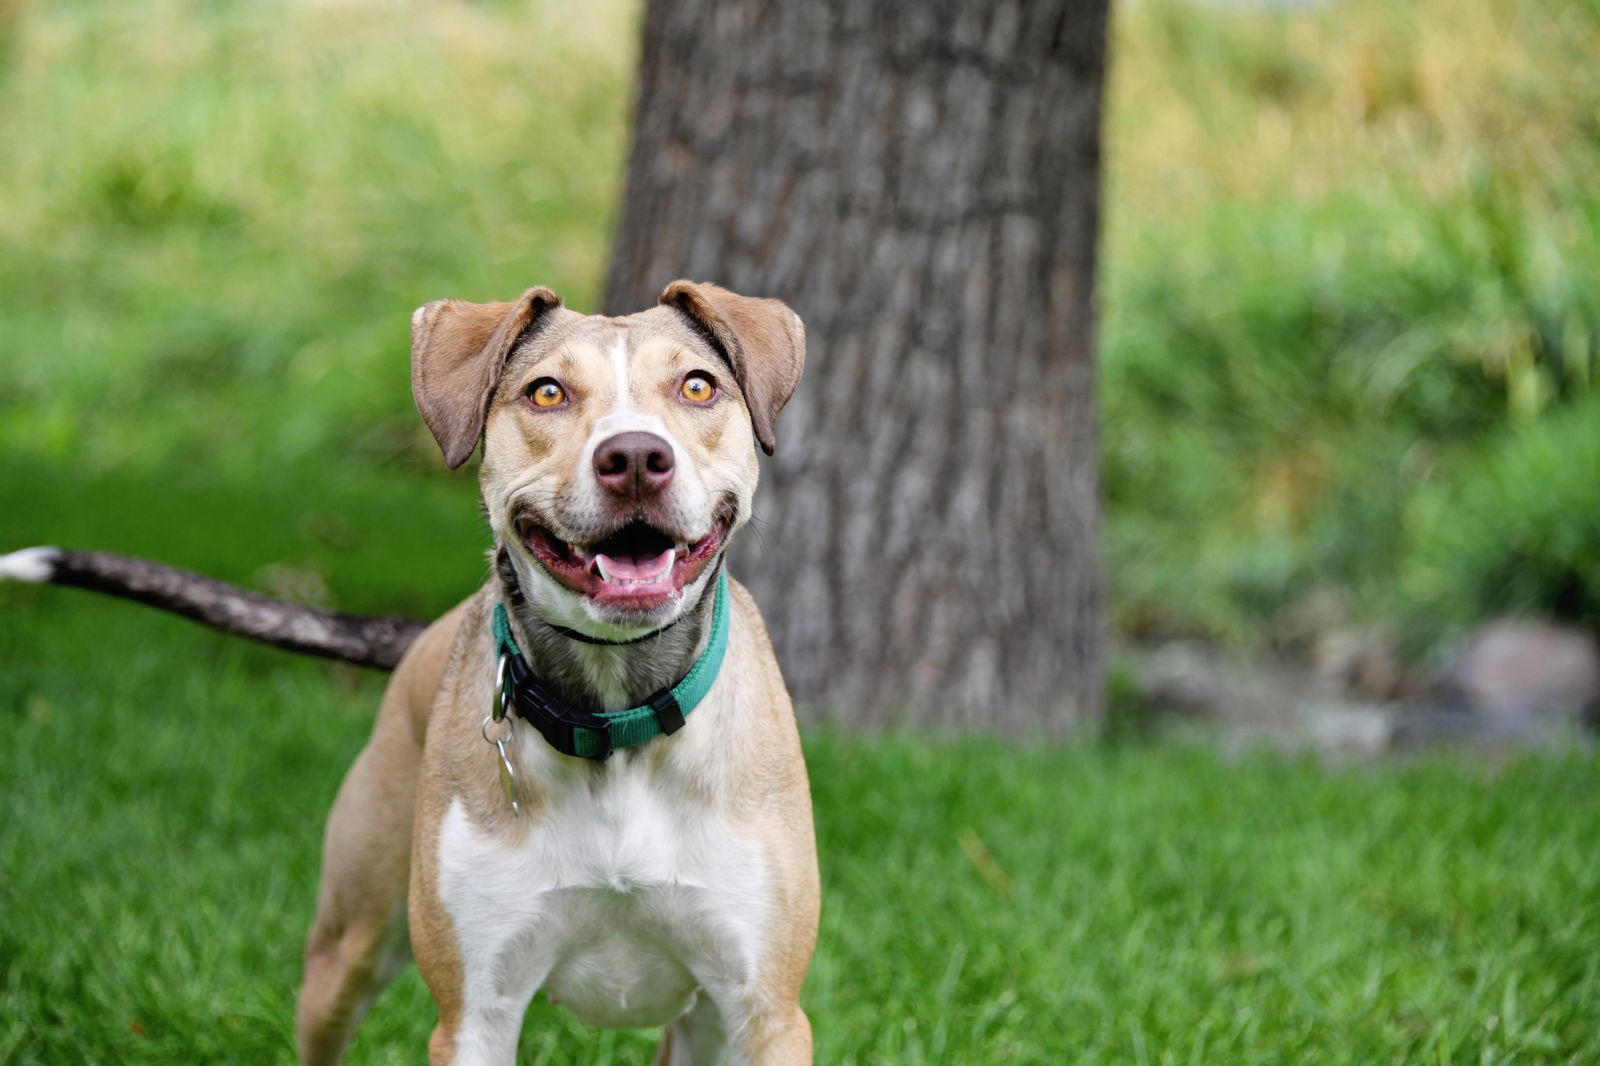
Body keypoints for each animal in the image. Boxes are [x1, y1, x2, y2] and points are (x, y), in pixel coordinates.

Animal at [0, 280, 819, 1062]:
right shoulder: (474, 1013)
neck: (614, 718)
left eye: (698, 386)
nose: (637, 458)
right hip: (346, 950)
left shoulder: (766, 1013)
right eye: (547, 392)